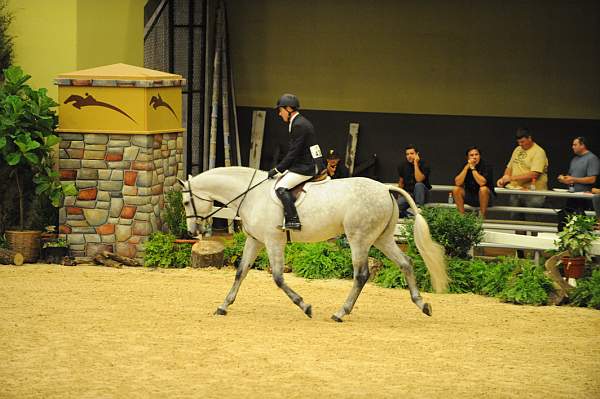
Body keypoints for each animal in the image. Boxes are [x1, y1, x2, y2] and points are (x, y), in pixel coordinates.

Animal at [180, 167, 448, 324]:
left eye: (185, 202)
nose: (192, 232)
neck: (250, 195)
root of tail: (385, 187)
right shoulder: (255, 240)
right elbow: (240, 272)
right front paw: (223, 306)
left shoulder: (273, 241)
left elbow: (278, 277)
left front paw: (305, 306)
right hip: (381, 238)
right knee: (406, 263)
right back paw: (422, 304)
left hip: (359, 239)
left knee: (361, 274)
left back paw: (341, 312)